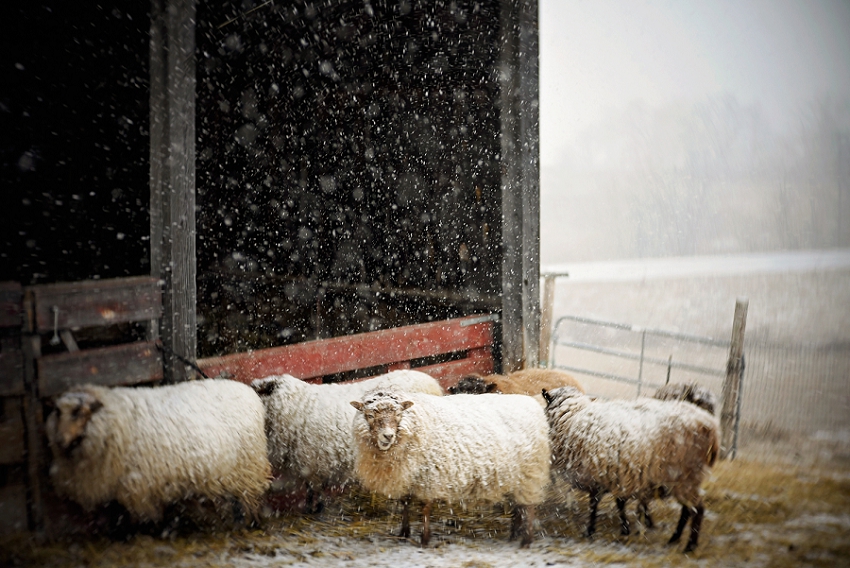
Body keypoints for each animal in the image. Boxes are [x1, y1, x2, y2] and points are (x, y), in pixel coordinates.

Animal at [46, 379, 271, 526]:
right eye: (57, 412)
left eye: (78, 412)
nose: (60, 440)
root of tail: (248, 391)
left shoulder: (137, 485)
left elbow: (144, 519)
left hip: (248, 467)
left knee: (250, 498)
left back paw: (252, 523)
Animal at [251, 369, 443, 514]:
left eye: (257, 391)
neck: (294, 406)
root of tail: (433, 384)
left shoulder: (311, 462)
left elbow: (313, 491)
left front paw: (313, 511)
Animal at [350, 388, 551, 547]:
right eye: (370, 415)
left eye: (398, 414)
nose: (387, 436)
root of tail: (532, 404)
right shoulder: (407, 475)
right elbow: (405, 503)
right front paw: (404, 533)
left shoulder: (429, 477)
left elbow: (425, 509)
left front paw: (424, 539)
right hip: (515, 476)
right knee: (519, 506)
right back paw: (513, 535)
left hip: (530, 472)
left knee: (528, 507)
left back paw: (526, 540)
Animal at [541, 386, 719, 553]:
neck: (573, 419)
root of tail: (711, 426)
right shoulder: (617, 474)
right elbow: (619, 502)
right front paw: (625, 528)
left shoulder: (596, 475)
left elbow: (595, 504)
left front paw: (590, 531)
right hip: (682, 481)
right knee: (687, 510)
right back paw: (674, 539)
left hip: (685, 477)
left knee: (697, 509)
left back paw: (689, 546)